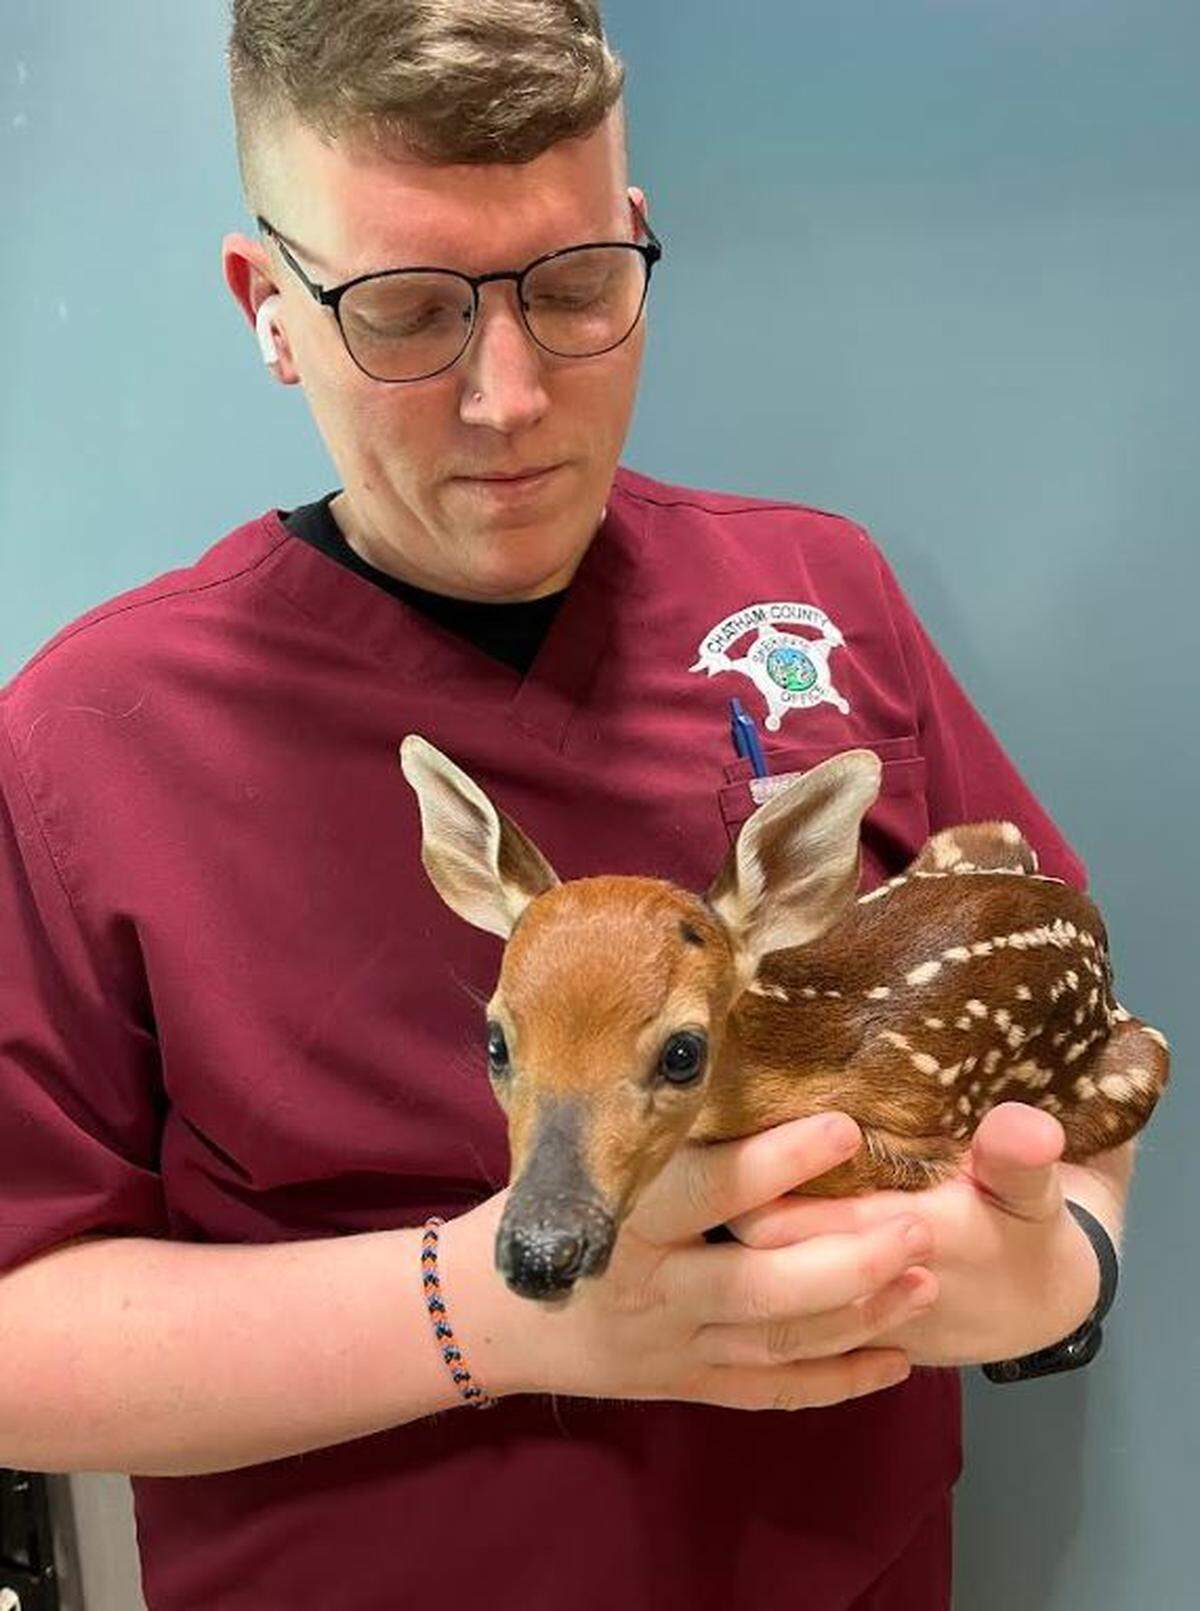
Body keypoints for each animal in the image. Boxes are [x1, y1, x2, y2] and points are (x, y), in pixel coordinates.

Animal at [398, 735, 1170, 1304]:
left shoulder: (911, 1136)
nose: (542, 1250)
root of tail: (1088, 916)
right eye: (496, 1043)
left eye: (683, 1053)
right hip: (980, 832)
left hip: (1140, 1067)